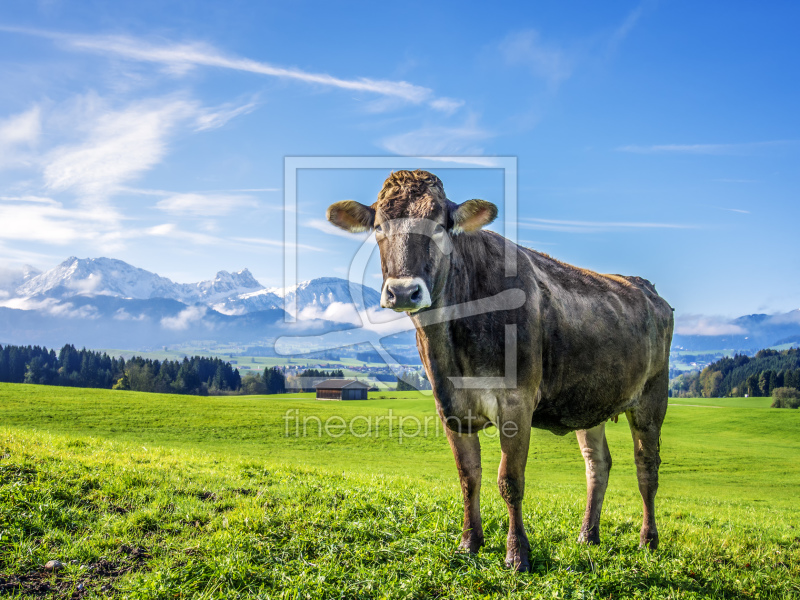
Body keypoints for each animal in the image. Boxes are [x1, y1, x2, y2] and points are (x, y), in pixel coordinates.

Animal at [326, 169, 676, 572]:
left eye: (440, 226)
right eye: (379, 227)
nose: (402, 292)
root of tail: (645, 287)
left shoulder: (517, 403)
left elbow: (510, 480)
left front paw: (517, 553)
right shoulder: (450, 407)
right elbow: (468, 477)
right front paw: (469, 542)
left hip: (652, 397)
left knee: (647, 468)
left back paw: (648, 540)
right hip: (591, 402)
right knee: (597, 465)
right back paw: (588, 536)